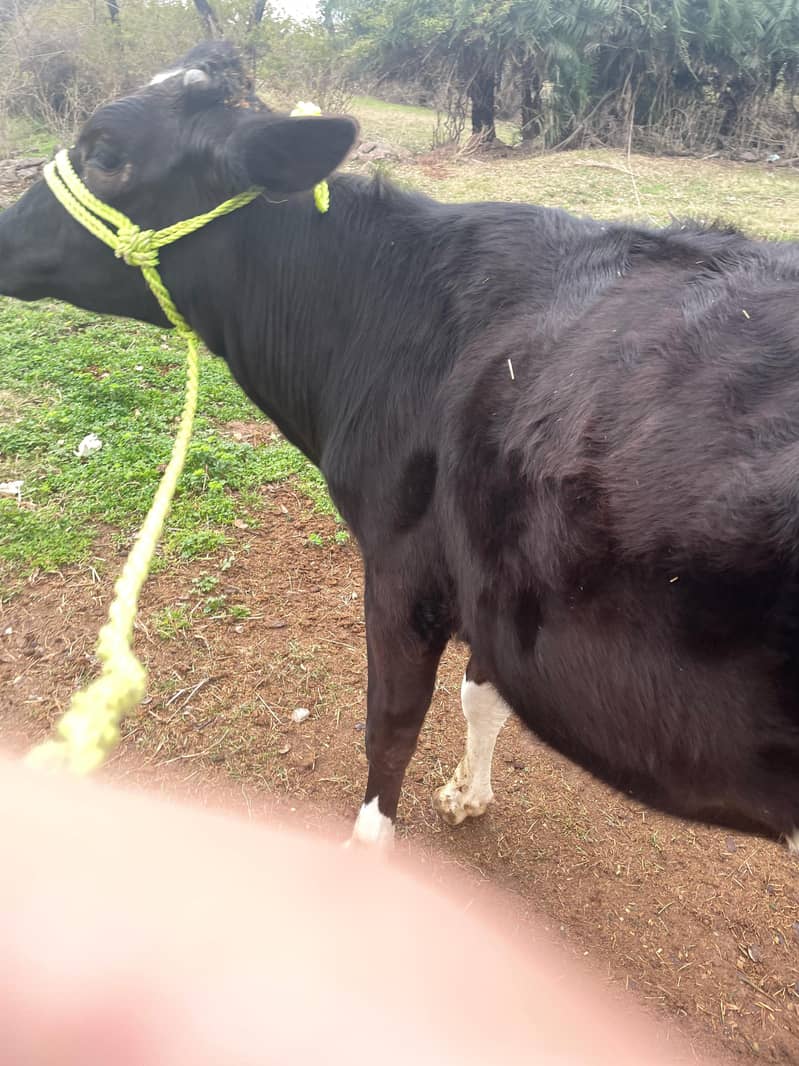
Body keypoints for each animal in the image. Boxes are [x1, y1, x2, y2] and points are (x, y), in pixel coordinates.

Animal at [2, 41, 799, 853]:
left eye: (105, 152)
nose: (0, 232)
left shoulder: (404, 566)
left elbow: (388, 729)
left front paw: (369, 848)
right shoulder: (491, 572)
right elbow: (481, 693)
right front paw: (468, 794)